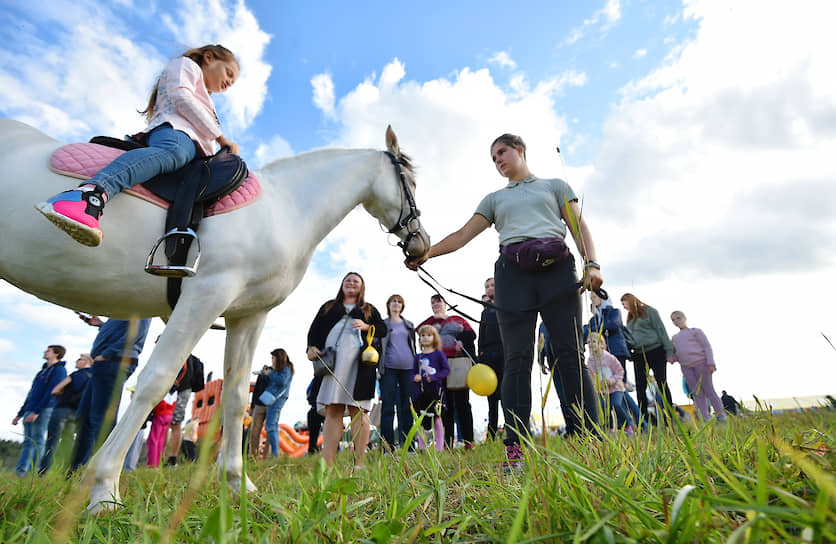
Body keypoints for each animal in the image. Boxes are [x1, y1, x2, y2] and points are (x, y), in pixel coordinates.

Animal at [0, 118, 432, 510]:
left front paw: (237, 484)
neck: (283, 208)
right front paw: (104, 489)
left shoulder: (248, 315)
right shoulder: (205, 294)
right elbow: (155, 381)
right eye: (411, 182)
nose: (422, 244)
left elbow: (237, 399)